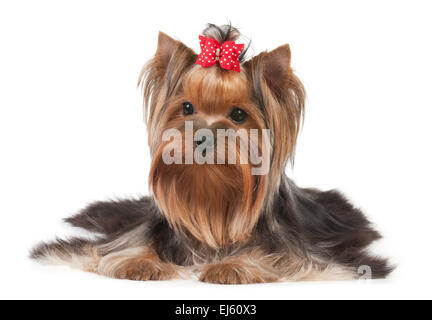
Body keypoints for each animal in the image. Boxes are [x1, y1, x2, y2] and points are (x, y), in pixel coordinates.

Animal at [30, 23, 394, 282]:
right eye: (187, 107)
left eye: (238, 115)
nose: (203, 136)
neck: (211, 191)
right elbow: (122, 247)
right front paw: (139, 261)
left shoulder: (309, 255)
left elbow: (287, 260)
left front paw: (235, 266)